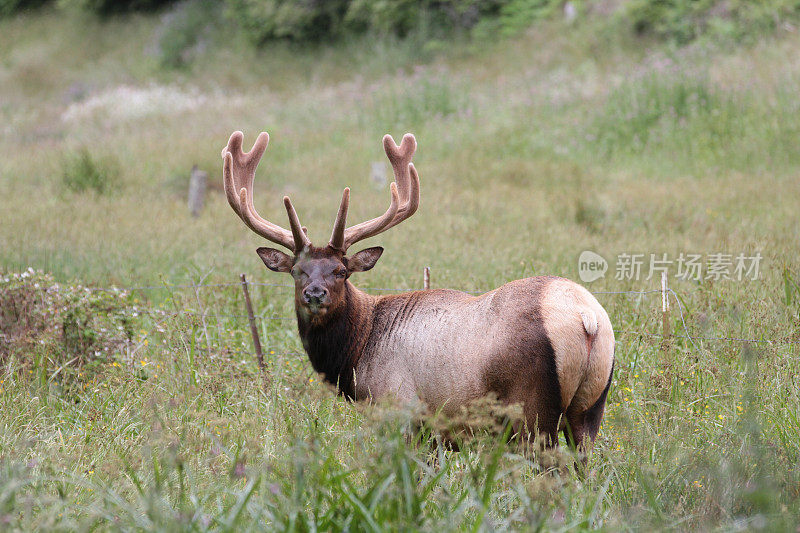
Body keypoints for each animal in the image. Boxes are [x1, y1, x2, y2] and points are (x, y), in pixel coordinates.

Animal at [222, 131, 616, 450]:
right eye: (297, 271)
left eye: (341, 272)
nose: (315, 295)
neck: (356, 355)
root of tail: (587, 318)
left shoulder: (402, 411)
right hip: (589, 408)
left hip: (532, 409)